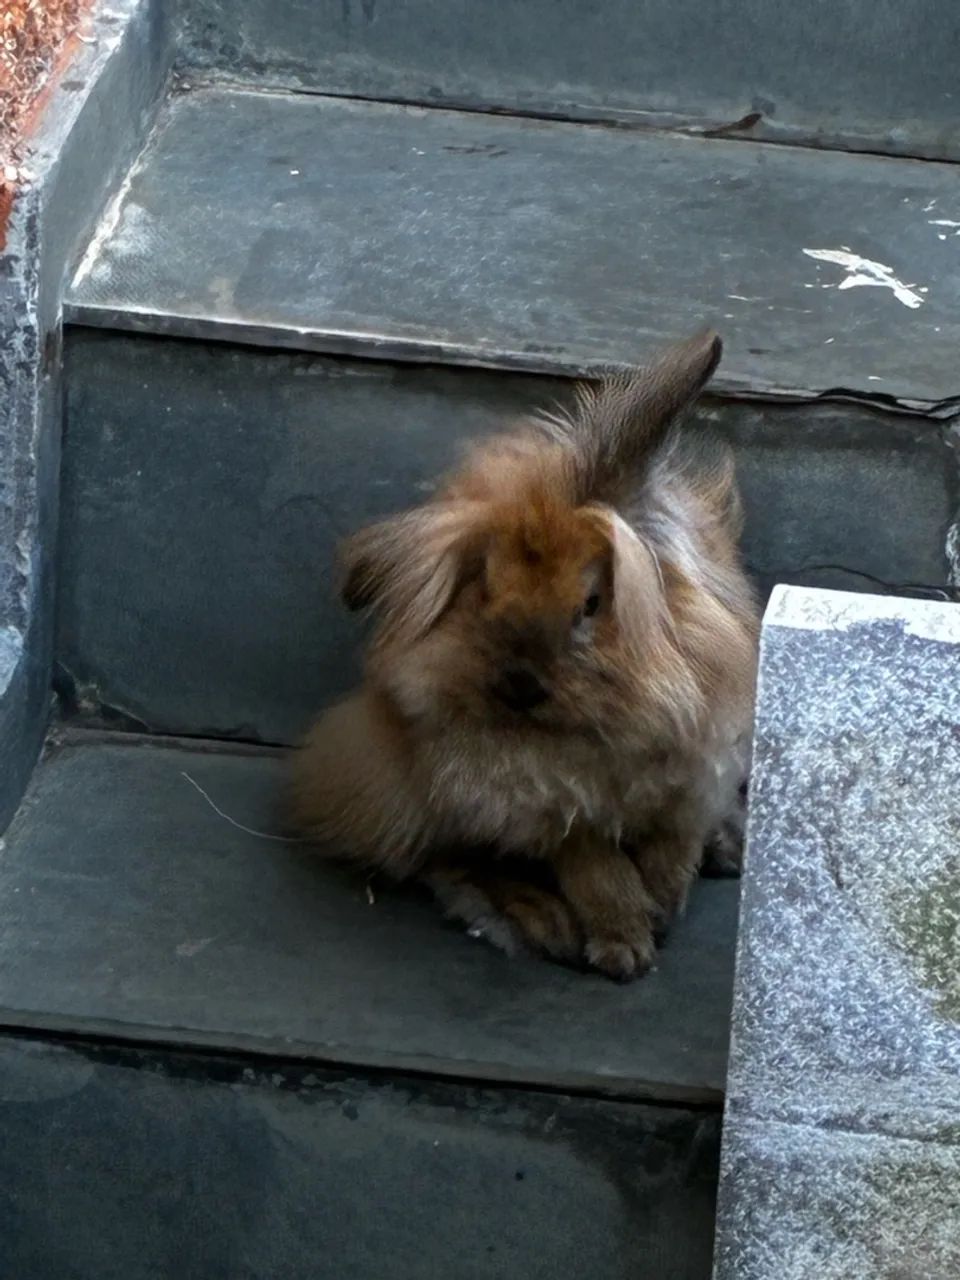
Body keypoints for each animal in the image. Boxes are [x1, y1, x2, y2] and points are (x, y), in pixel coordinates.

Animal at [289, 329, 760, 980]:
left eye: (591, 603)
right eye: (484, 586)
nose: (518, 683)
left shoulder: (698, 774)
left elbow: (673, 849)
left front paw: (664, 906)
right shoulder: (555, 808)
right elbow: (597, 874)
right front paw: (625, 949)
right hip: (409, 786)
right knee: (445, 861)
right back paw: (539, 918)